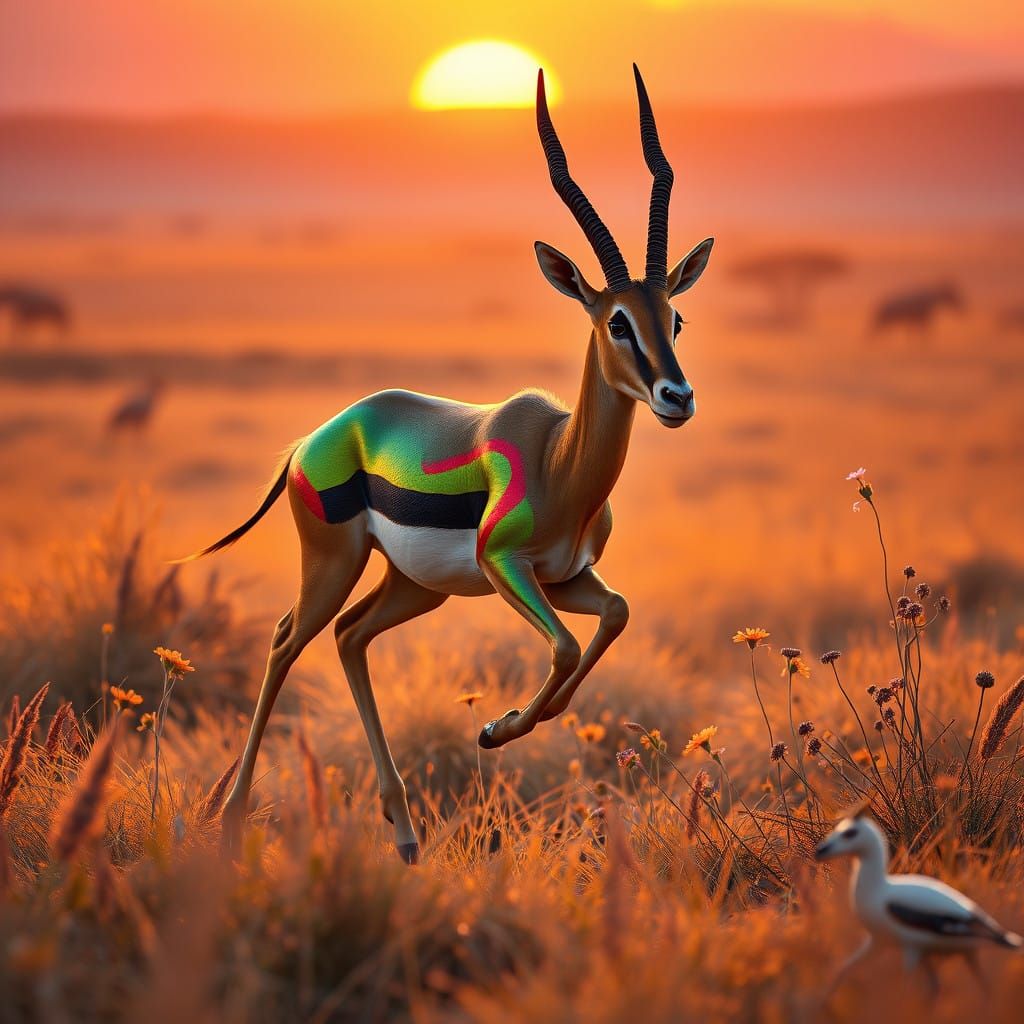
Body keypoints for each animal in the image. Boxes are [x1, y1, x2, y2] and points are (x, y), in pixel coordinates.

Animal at [183, 66, 714, 863]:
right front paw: (496, 729)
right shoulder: (505, 567)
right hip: (335, 563)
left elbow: (613, 616)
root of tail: (315, 438)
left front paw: (508, 725)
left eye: (674, 318)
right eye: (616, 320)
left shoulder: (568, 578)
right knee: (285, 642)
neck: (560, 463)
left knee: (350, 638)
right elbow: (563, 647)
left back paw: (403, 832)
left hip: (414, 587)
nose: (675, 397)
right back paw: (232, 818)